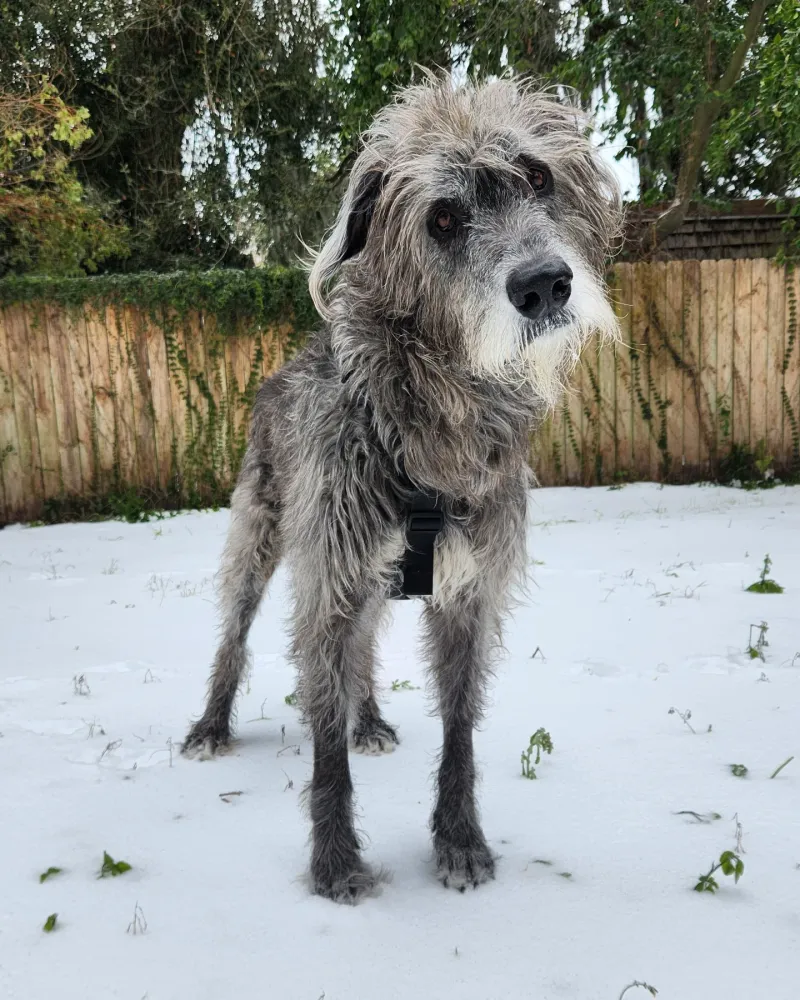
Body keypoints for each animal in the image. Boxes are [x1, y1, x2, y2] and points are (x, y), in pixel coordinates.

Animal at [184, 74, 620, 904]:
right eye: (442, 218)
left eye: (538, 177)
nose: (544, 285)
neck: (429, 420)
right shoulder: (329, 577)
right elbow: (324, 748)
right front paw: (334, 863)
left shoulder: (466, 590)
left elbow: (459, 729)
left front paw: (459, 841)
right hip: (261, 534)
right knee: (234, 632)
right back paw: (212, 726)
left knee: (362, 650)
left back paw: (371, 720)